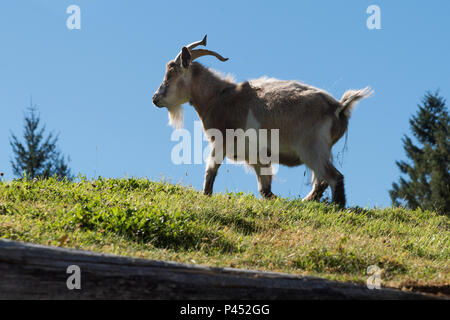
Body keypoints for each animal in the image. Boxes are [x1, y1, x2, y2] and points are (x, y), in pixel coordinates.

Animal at [153, 35, 370, 208]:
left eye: (170, 74)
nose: (155, 98)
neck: (218, 96)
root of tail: (338, 107)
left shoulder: (220, 142)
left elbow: (210, 171)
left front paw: (206, 196)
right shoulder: (258, 157)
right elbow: (265, 190)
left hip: (312, 149)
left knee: (334, 177)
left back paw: (337, 207)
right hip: (319, 152)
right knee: (321, 181)